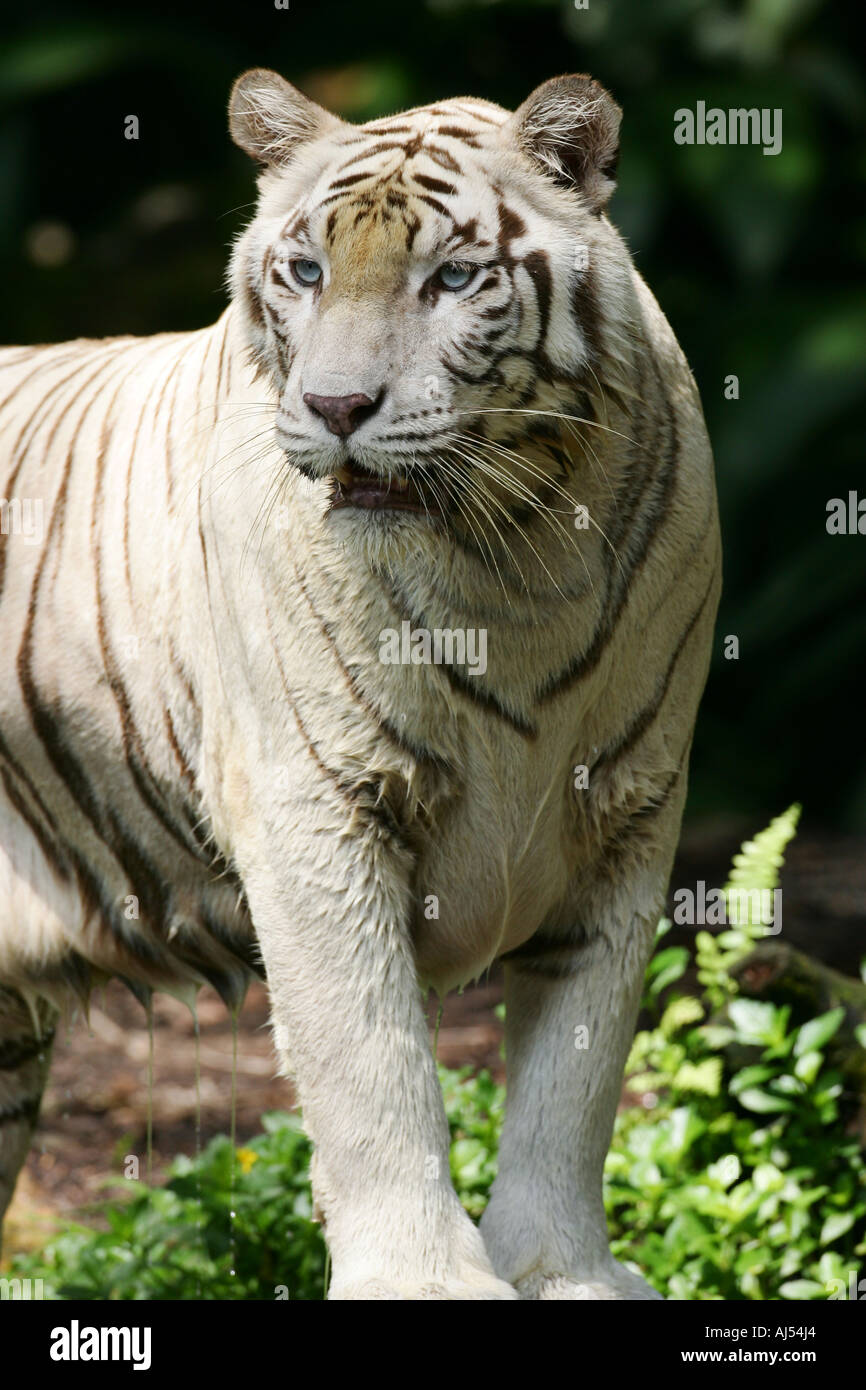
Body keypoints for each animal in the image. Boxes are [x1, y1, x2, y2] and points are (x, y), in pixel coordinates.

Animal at [0, 68, 721, 1299]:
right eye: (305, 272)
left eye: (453, 279)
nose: (339, 409)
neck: (510, 561)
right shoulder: (314, 809)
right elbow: (370, 1066)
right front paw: (426, 1281)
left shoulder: (631, 813)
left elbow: (575, 1075)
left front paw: (563, 1271)